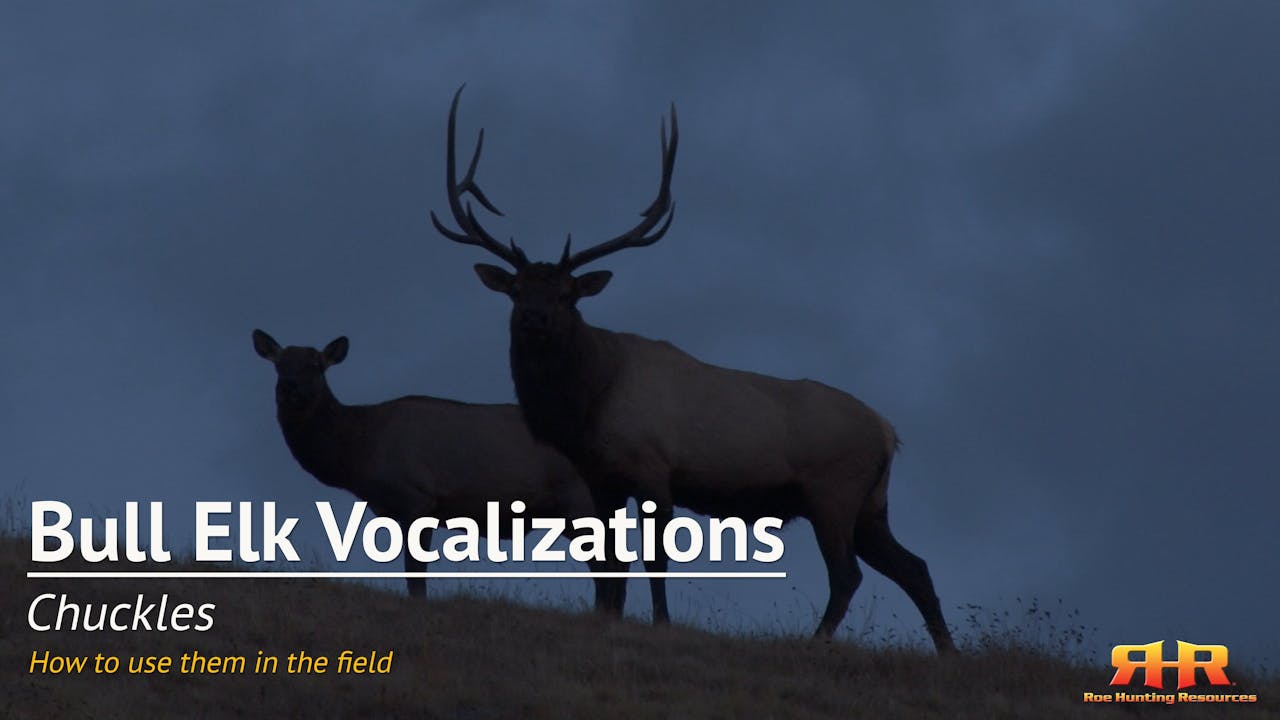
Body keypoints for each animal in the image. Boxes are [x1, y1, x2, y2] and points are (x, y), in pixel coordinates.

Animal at [251, 328, 642, 612]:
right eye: (279, 364)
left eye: (317, 365)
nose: (290, 388)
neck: (361, 451)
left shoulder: (416, 496)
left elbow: (415, 573)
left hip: (578, 500)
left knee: (608, 564)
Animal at [429, 87, 956, 653]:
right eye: (517, 290)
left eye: (568, 295)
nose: (534, 318)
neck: (589, 401)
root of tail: (888, 432)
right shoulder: (601, 479)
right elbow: (609, 563)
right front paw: (606, 618)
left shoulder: (654, 467)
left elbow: (653, 559)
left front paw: (660, 624)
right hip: (871, 504)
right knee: (914, 566)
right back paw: (946, 650)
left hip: (833, 489)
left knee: (848, 574)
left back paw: (816, 642)